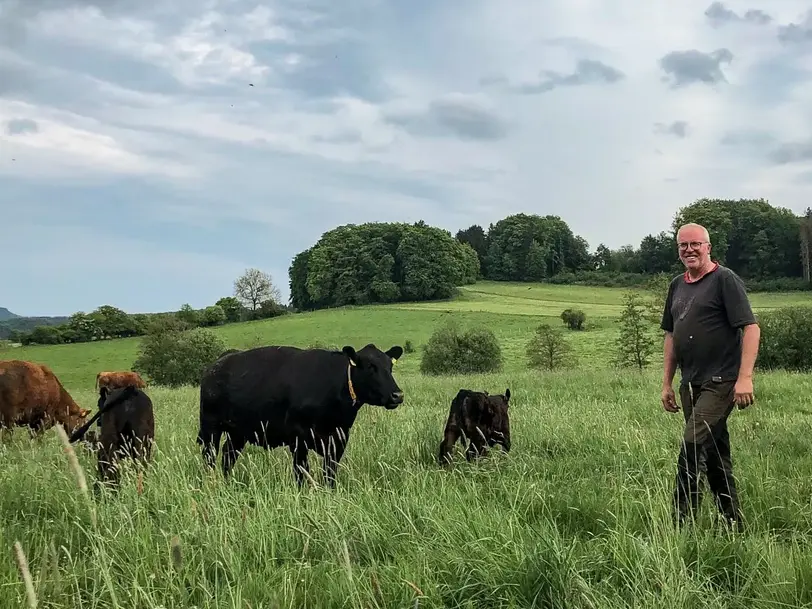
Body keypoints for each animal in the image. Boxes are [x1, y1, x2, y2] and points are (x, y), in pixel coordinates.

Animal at [197, 344, 406, 486]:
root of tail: (216, 364)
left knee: (228, 456)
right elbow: (301, 472)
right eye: (370, 367)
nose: (397, 395)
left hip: (238, 432)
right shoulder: (298, 438)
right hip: (210, 428)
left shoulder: (338, 439)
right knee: (210, 458)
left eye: (390, 367)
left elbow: (329, 474)